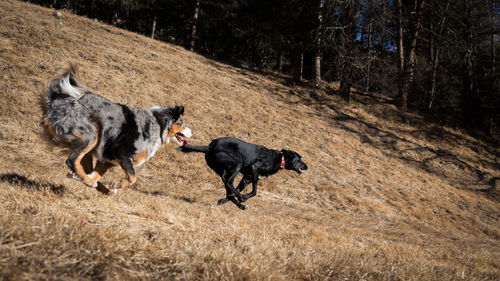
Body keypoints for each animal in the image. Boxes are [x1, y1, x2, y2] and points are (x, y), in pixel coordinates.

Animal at [178, 137, 306, 209]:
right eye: (299, 159)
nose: (307, 166)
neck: (280, 159)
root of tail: (209, 147)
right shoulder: (254, 169)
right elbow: (254, 191)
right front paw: (244, 196)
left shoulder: (247, 179)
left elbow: (234, 192)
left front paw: (223, 200)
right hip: (237, 163)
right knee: (229, 182)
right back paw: (241, 199)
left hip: (225, 170)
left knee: (227, 184)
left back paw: (241, 205)